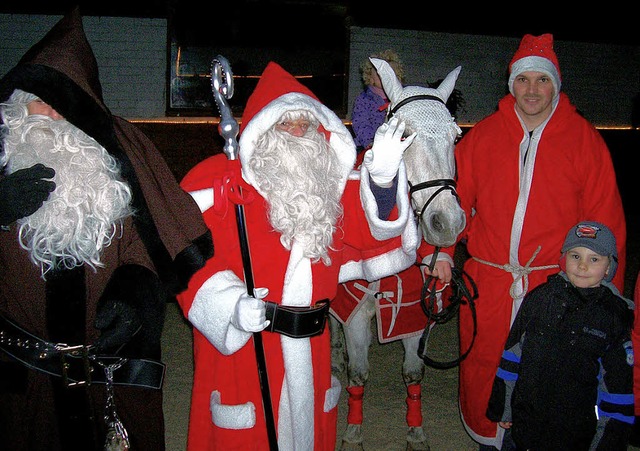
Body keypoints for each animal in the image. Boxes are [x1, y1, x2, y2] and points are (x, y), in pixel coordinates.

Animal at [330, 60, 464, 451]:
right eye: (404, 136)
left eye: (456, 136)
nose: (447, 222)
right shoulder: (357, 312)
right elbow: (358, 375)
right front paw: (353, 433)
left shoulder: (416, 314)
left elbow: (413, 374)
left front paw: (416, 433)